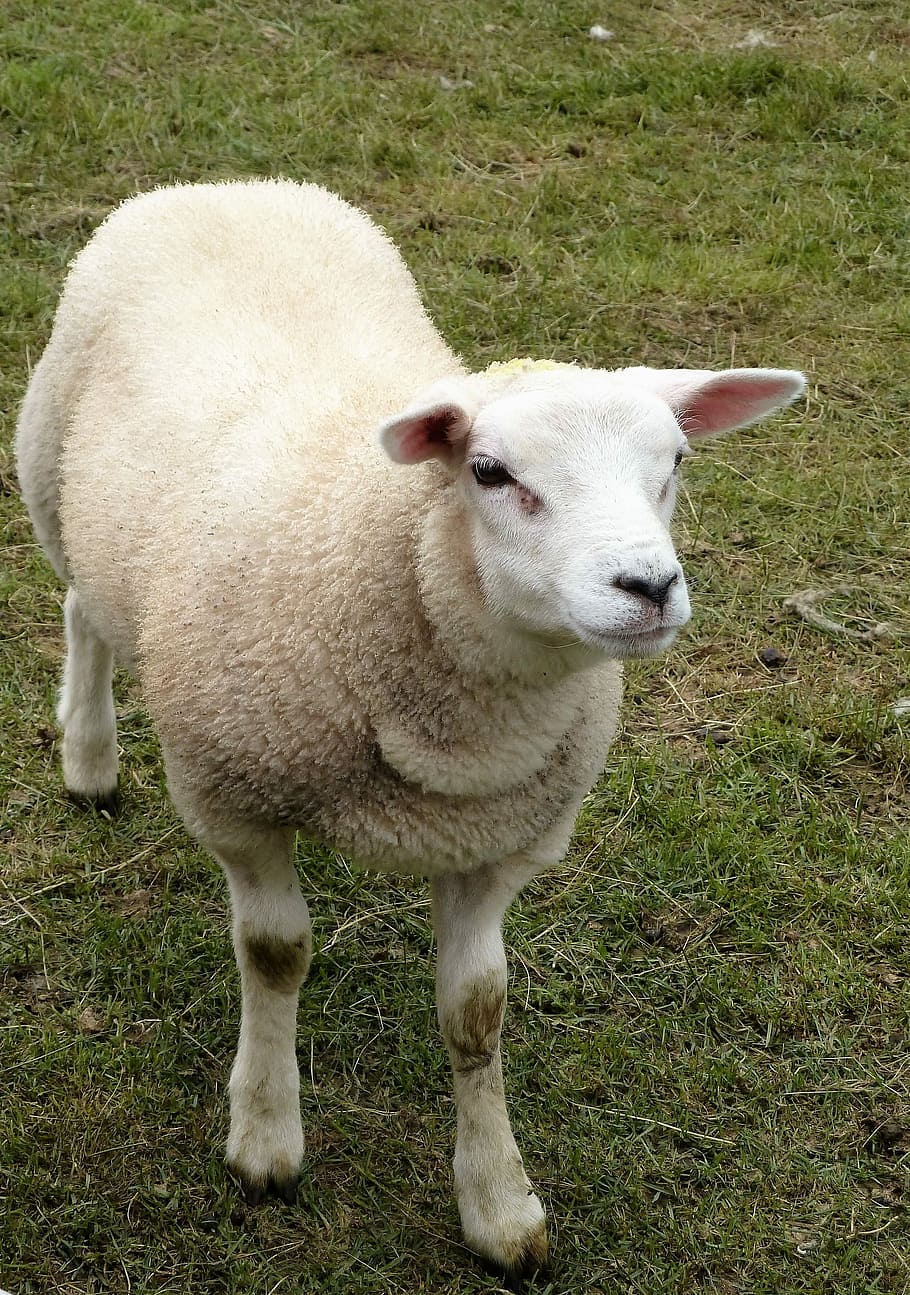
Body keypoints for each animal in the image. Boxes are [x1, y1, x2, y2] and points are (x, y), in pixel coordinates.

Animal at [14, 178, 806, 1277]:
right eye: (489, 470)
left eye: (677, 460)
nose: (647, 586)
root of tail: (229, 184)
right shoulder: (233, 796)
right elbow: (275, 954)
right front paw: (266, 1137)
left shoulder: (501, 838)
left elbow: (478, 1011)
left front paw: (499, 1204)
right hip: (51, 480)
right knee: (82, 609)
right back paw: (88, 756)